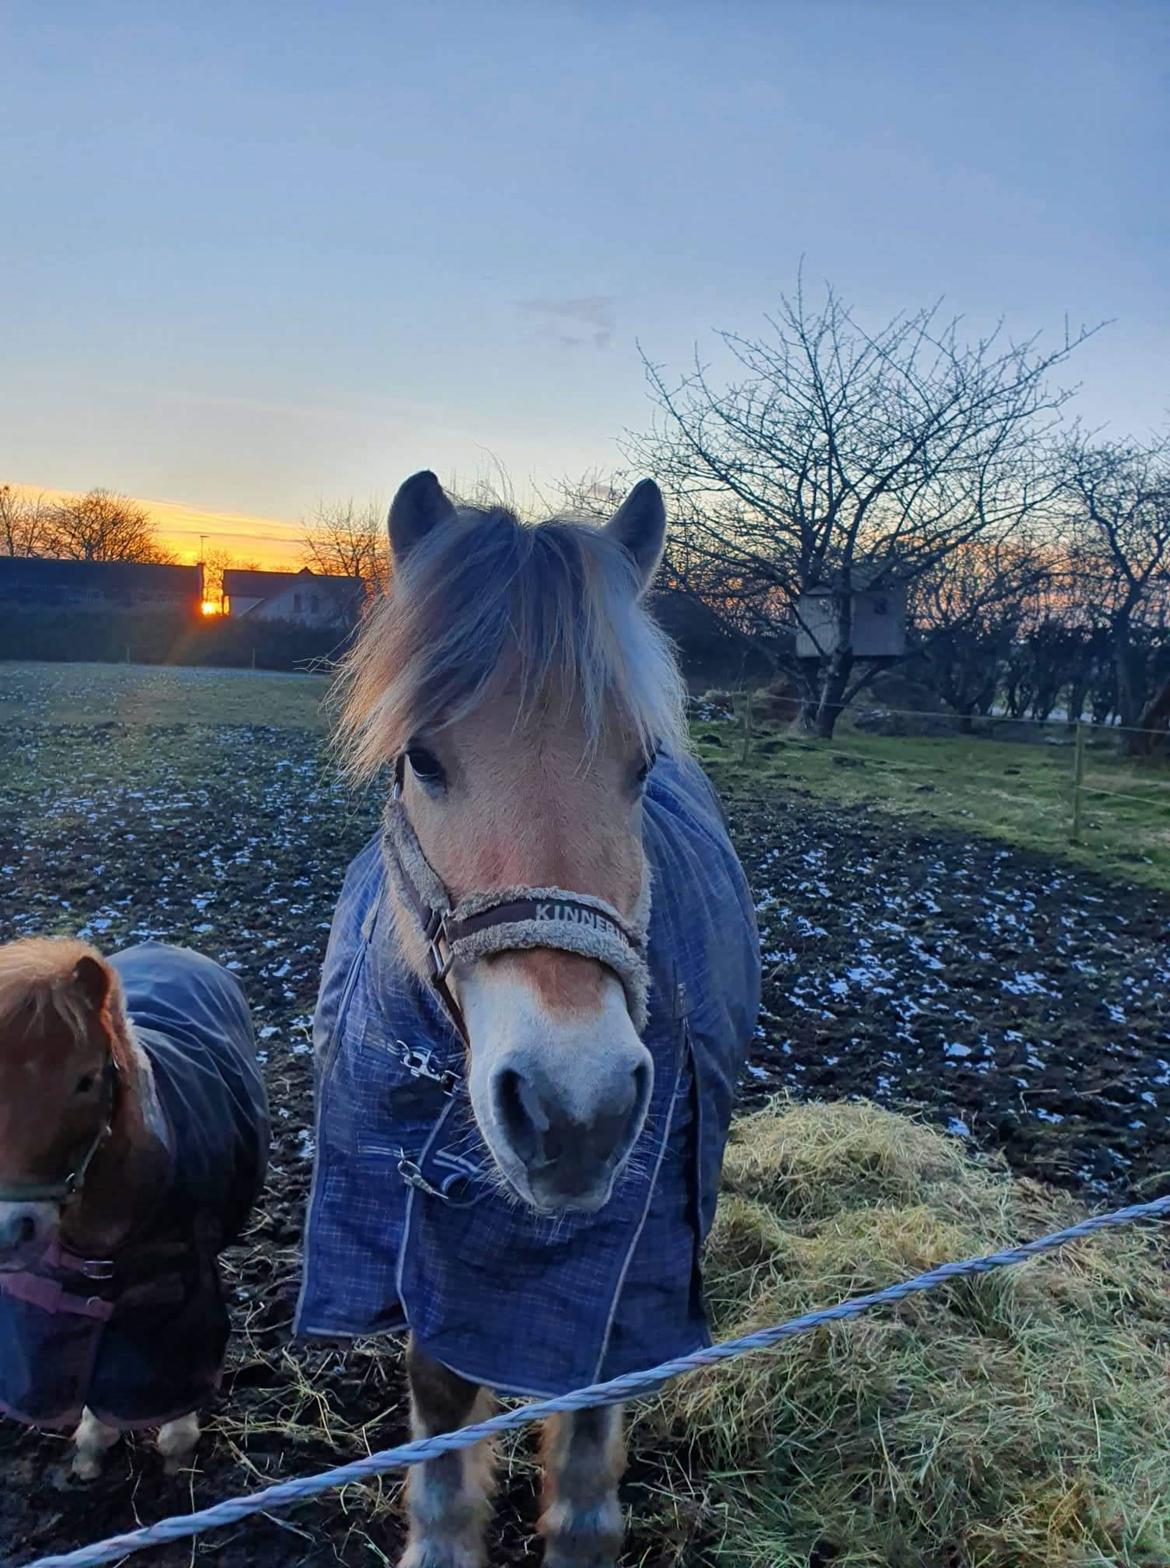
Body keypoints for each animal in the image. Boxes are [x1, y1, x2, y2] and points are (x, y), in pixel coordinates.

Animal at [296, 473, 762, 1568]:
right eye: (422, 757)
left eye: (641, 765)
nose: (574, 1107)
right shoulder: (413, 1236)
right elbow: (439, 1391)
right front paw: (441, 1537)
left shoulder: (633, 1258)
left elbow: (593, 1403)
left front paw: (582, 1531)